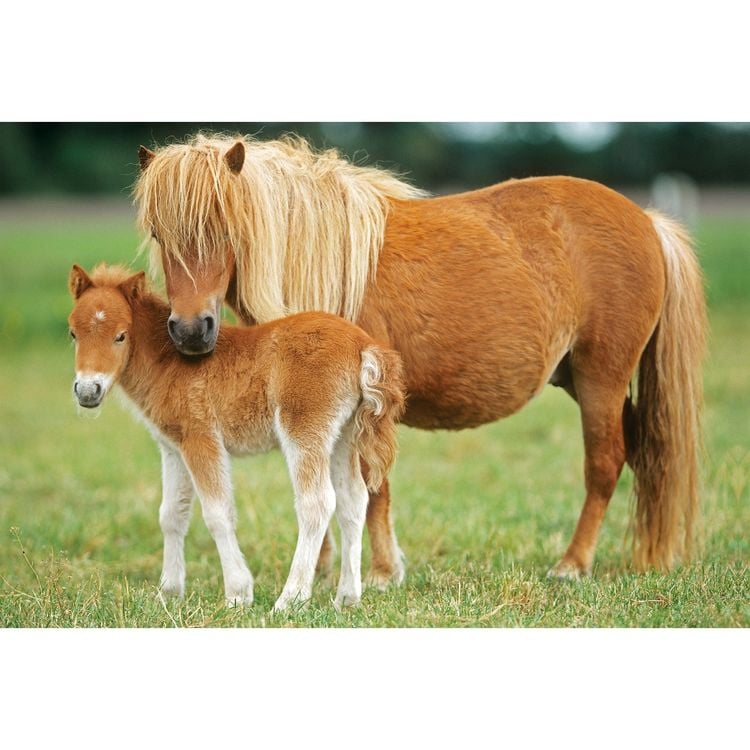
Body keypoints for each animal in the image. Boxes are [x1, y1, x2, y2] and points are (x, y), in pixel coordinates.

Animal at [67, 263, 404, 610]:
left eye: (121, 335)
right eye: (73, 333)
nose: (88, 391)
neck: (168, 361)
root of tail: (362, 345)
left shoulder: (201, 438)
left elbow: (217, 513)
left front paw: (238, 593)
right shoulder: (172, 447)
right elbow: (171, 515)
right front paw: (168, 593)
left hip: (304, 428)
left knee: (317, 503)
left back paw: (289, 600)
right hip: (343, 436)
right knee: (354, 500)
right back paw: (347, 598)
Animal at [133, 133, 707, 581]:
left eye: (223, 227)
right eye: (159, 233)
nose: (190, 331)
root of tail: (648, 221)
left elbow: (371, 488)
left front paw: (381, 573)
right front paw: (325, 567)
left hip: (600, 380)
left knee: (605, 463)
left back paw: (572, 564)